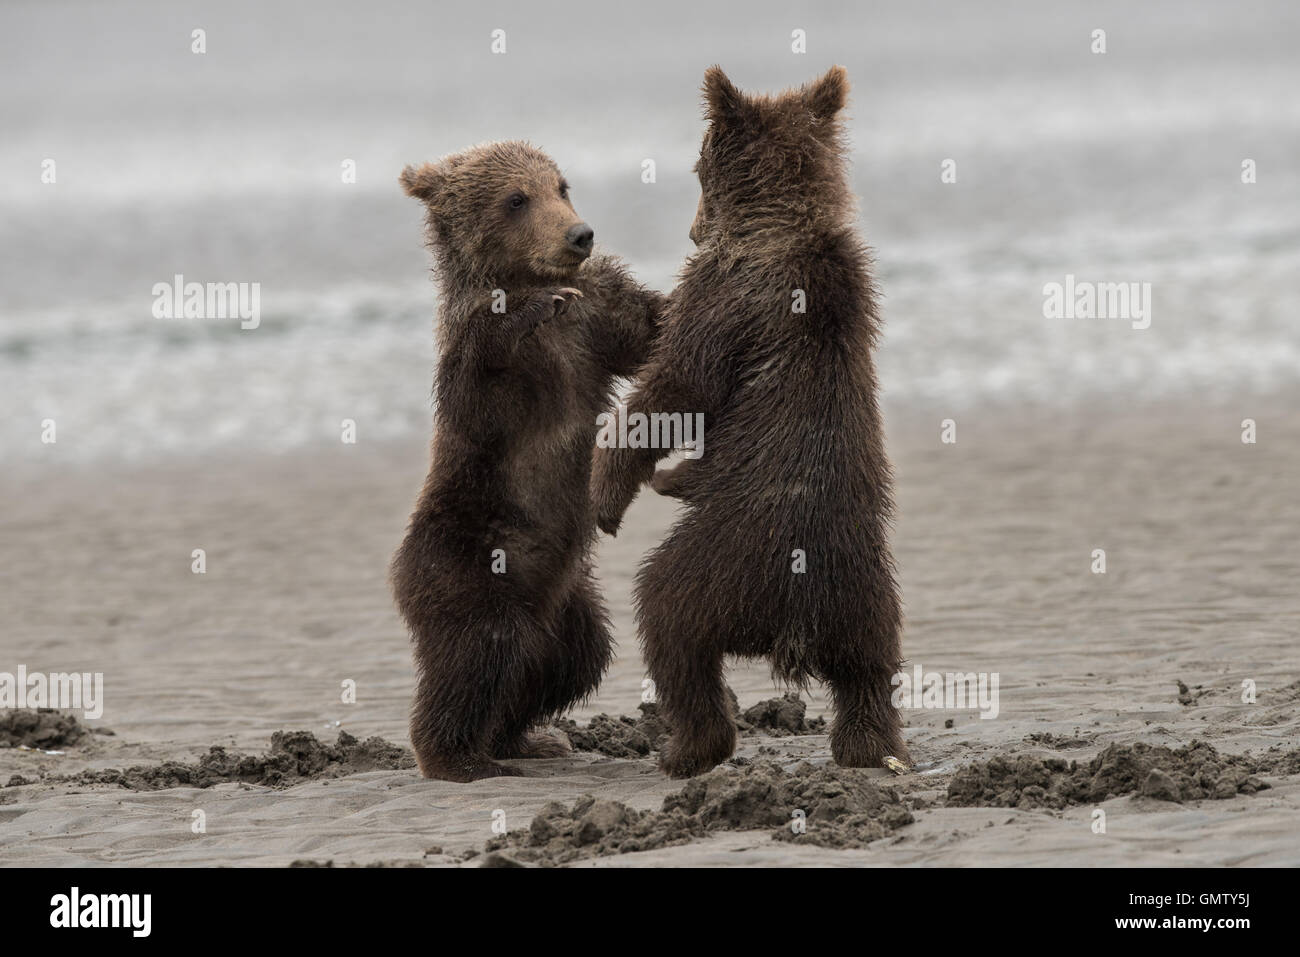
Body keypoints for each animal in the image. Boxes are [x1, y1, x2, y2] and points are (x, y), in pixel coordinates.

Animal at [391, 141, 665, 782]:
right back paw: (459, 757)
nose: (580, 233)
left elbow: (648, 328)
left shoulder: (597, 327)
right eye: (516, 199)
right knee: (480, 653)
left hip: (567, 598)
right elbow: (476, 391)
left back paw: (526, 738)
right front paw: (537, 305)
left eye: (561, 186)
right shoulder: (486, 371)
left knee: (572, 659)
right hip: (468, 562)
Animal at [589, 66, 909, 778]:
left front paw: (609, 491)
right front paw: (667, 476)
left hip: (719, 560)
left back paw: (687, 747)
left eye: (697, 166)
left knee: (668, 621)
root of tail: (794, 620)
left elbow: (679, 384)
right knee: (871, 669)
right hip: (867, 590)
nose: (690, 229)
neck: (781, 224)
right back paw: (872, 746)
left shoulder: (728, 294)